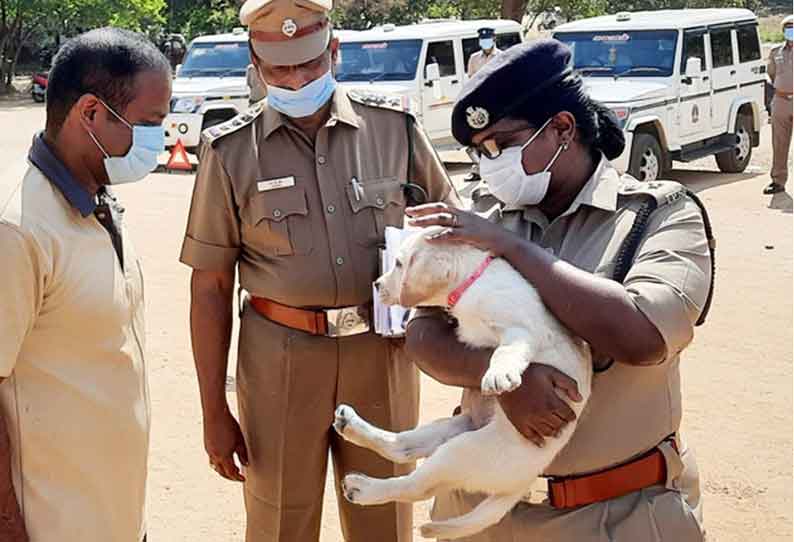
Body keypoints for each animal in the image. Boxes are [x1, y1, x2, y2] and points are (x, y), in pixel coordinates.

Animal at [332, 228, 592, 540]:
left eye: (398, 263)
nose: (377, 283)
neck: (472, 282)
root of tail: (524, 482)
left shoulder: (521, 329)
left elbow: (506, 351)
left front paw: (499, 375)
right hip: (453, 428)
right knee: (401, 446)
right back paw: (351, 426)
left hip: (462, 452)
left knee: (414, 487)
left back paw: (364, 488)